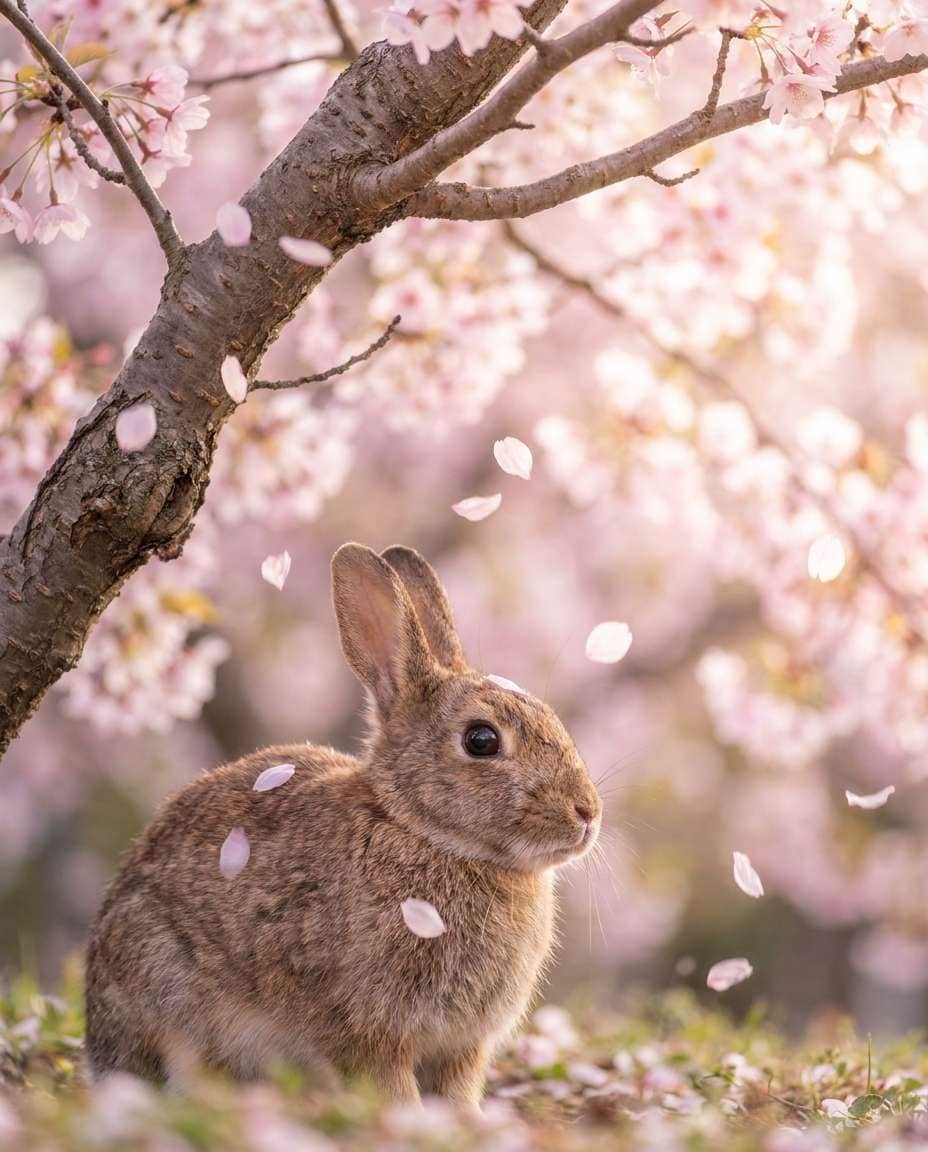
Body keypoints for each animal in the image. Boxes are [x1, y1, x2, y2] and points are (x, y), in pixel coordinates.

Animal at [84, 543, 602, 1106]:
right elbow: (389, 1082)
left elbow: (459, 1091)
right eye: (481, 740)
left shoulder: (462, 1046)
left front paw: (465, 1120)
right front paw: (410, 1118)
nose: (588, 812)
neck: (424, 833)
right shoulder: (366, 1027)